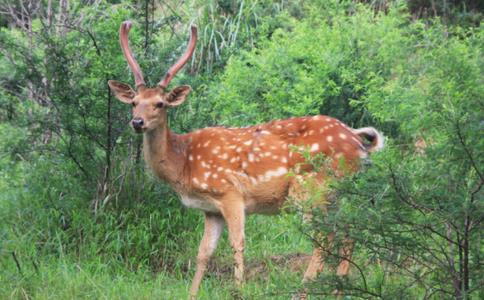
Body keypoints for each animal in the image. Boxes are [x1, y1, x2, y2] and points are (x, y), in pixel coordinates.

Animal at [108, 21, 384, 298]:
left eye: (160, 103)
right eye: (134, 102)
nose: (137, 122)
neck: (183, 163)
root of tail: (359, 142)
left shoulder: (230, 192)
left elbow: (238, 243)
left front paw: (238, 289)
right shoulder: (211, 210)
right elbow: (203, 252)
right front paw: (192, 293)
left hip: (310, 189)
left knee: (325, 237)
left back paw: (304, 288)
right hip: (337, 193)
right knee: (348, 231)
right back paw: (339, 288)